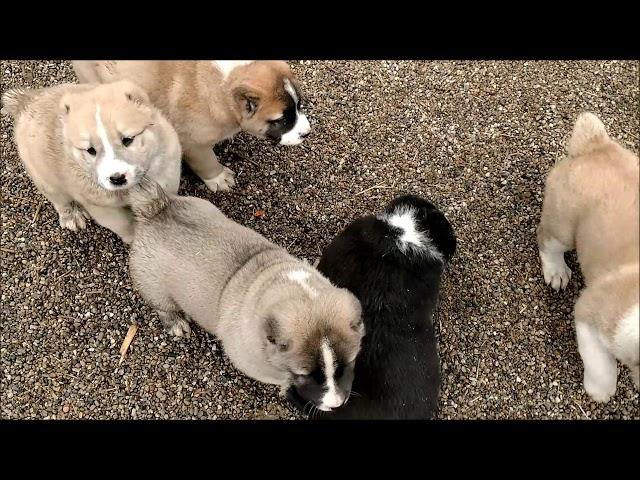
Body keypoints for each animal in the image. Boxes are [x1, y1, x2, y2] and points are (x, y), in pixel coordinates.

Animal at [0, 80, 180, 244]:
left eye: (128, 140)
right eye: (90, 150)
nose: (117, 178)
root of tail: (27, 101)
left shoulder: (168, 174)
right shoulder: (100, 207)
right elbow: (125, 224)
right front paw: (133, 239)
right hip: (44, 178)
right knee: (59, 200)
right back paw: (71, 216)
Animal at [71, 61, 312, 192]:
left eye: (299, 106)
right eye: (280, 120)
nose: (307, 133)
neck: (221, 90)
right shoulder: (192, 142)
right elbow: (206, 161)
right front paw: (218, 178)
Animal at [536, 111, 636, 402]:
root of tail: (596, 145)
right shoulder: (590, 314)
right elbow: (602, 371)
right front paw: (598, 393)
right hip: (563, 226)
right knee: (547, 241)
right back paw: (556, 271)